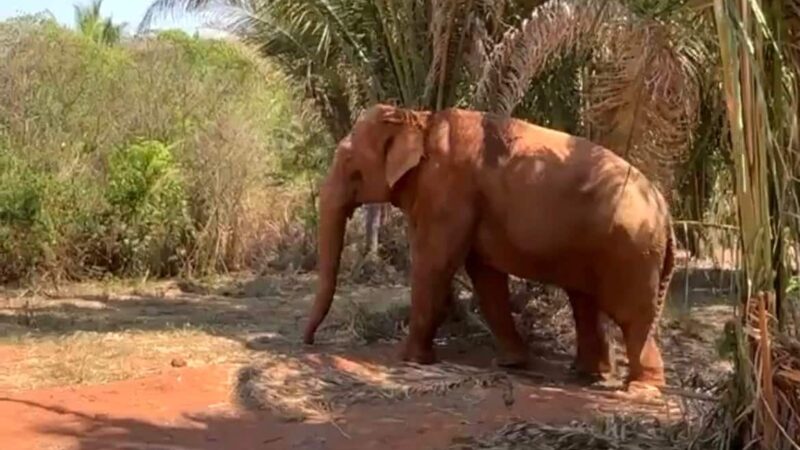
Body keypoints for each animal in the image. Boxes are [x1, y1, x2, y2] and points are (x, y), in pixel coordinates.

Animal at [302, 103, 675, 388]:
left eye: (347, 161)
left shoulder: (448, 189)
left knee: (630, 313)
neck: (419, 117)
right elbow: (485, 274)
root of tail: (665, 208)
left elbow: (434, 263)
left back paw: (641, 389)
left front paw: (407, 359)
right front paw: (512, 364)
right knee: (586, 302)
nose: (307, 342)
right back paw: (588, 374)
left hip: (630, 248)